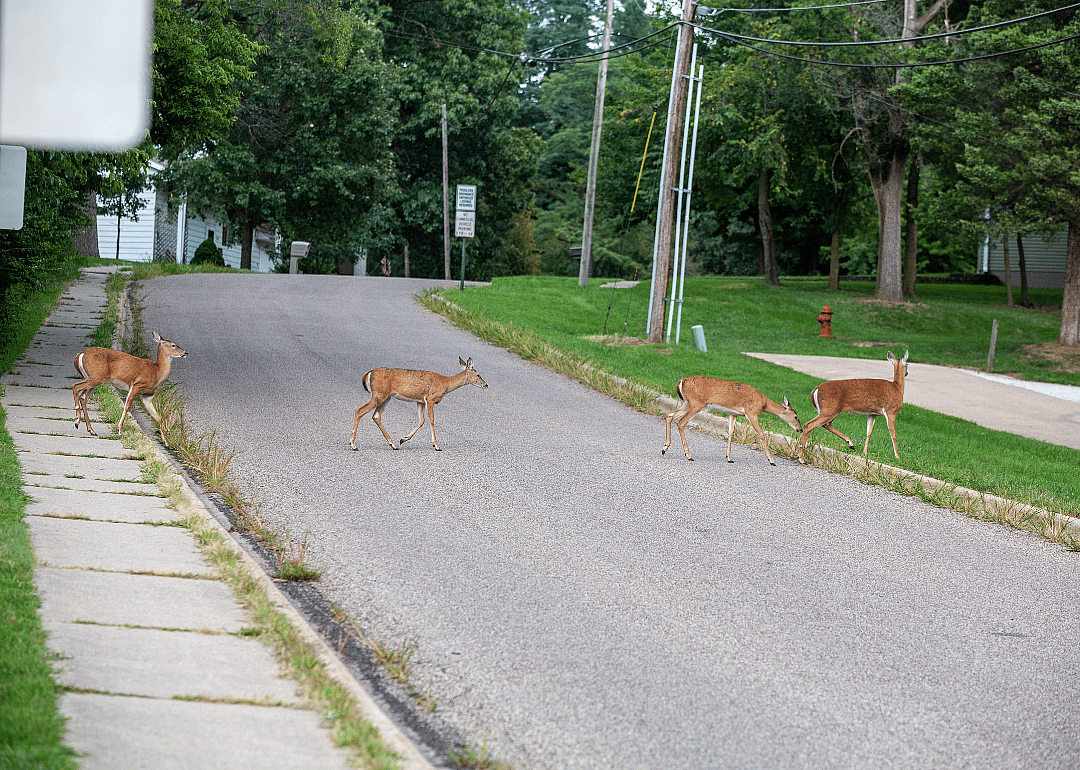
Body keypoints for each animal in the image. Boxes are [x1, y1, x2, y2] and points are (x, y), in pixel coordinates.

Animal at [349, 357, 488, 451]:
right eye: (478, 375)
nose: (486, 385)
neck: (444, 383)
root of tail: (368, 374)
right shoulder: (430, 398)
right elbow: (432, 420)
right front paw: (436, 445)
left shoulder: (420, 401)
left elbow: (421, 420)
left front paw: (403, 439)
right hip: (379, 394)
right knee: (359, 410)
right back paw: (353, 445)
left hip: (385, 397)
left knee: (376, 416)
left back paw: (393, 444)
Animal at [662, 376, 802, 465]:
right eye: (796, 416)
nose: (800, 429)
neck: (763, 404)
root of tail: (680, 382)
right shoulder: (751, 412)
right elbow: (761, 433)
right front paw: (771, 460)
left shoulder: (733, 413)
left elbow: (730, 433)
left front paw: (729, 458)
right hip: (696, 403)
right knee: (681, 422)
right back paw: (688, 456)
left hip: (686, 403)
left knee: (669, 414)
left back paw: (664, 449)